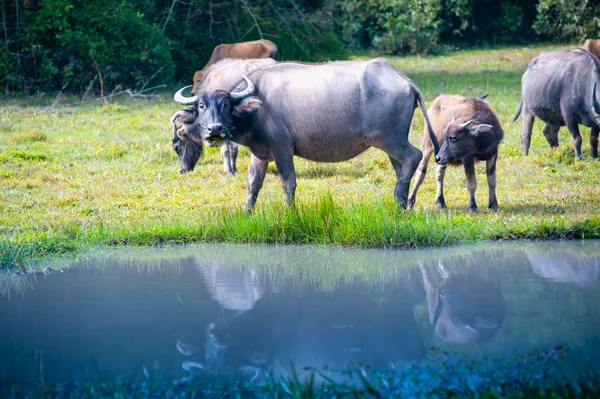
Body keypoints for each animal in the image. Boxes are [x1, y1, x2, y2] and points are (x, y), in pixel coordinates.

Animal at [173, 58, 440, 212]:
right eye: (202, 106)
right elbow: (253, 183)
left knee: (413, 156)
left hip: (388, 139)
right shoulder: (260, 153)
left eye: (226, 104)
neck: (257, 106)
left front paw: (289, 211)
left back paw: (400, 200)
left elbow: (287, 182)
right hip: (392, 142)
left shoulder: (282, 148)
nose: (215, 129)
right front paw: (247, 211)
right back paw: (402, 203)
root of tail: (404, 80)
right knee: (401, 166)